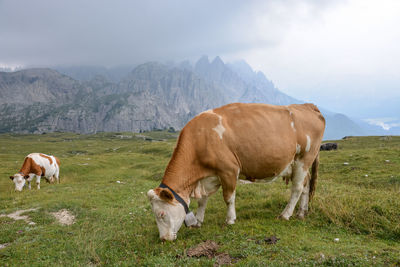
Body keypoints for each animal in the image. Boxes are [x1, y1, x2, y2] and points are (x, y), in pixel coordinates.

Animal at [147, 102, 324, 241]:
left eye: (161, 214)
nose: (163, 239)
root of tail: (307, 105)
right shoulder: (207, 177)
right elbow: (202, 201)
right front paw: (198, 221)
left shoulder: (229, 169)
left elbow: (228, 198)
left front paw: (230, 220)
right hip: (299, 164)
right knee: (306, 185)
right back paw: (301, 213)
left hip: (304, 158)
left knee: (297, 188)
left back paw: (285, 215)